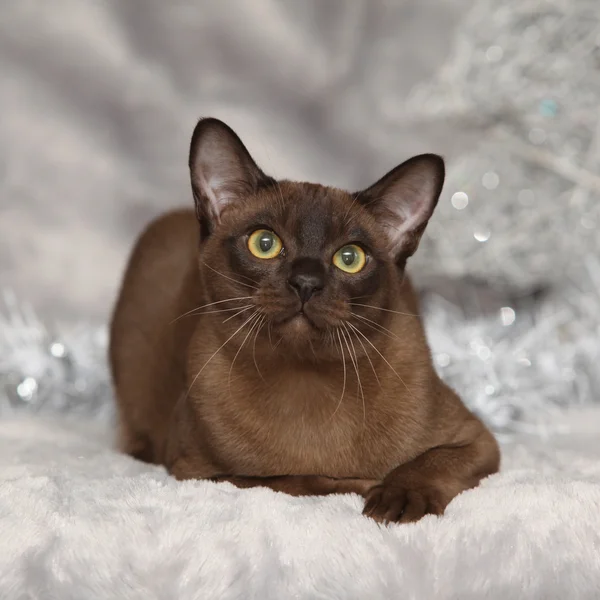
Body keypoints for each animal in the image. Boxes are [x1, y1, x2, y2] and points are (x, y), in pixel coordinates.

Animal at [109, 116, 502, 520]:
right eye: (264, 244)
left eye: (350, 258)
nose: (306, 283)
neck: (306, 381)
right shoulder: (199, 472)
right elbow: (299, 478)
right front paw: (364, 486)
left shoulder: (476, 441)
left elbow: (426, 464)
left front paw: (399, 500)